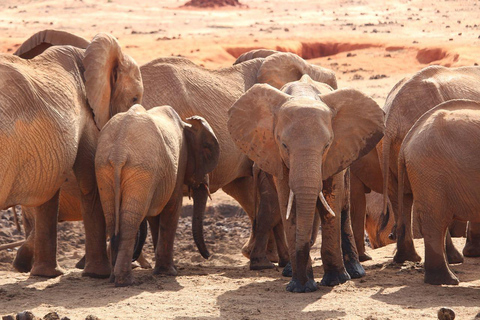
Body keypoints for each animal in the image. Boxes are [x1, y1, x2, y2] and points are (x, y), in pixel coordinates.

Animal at [3, 31, 143, 278]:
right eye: (135, 99)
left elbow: (49, 188)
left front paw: (46, 275)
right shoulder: (87, 116)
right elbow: (89, 182)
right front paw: (97, 275)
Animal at [95, 105, 219, 288]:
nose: (209, 256)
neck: (186, 125)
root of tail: (118, 152)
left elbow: (154, 217)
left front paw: (162, 271)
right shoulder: (178, 163)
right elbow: (172, 208)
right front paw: (169, 272)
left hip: (104, 168)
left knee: (112, 219)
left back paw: (113, 278)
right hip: (141, 169)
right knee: (130, 222)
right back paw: (126, 282)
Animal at [227, 75, 384, 292]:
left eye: (327, 145)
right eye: (284, 145)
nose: (303, 284)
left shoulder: (338, 150)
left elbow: (331, 202)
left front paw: (335, 281)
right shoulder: (275, 155)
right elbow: (288, 202)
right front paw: (299, 287)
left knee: (344, 207)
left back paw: (354, 272)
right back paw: (289, 272)